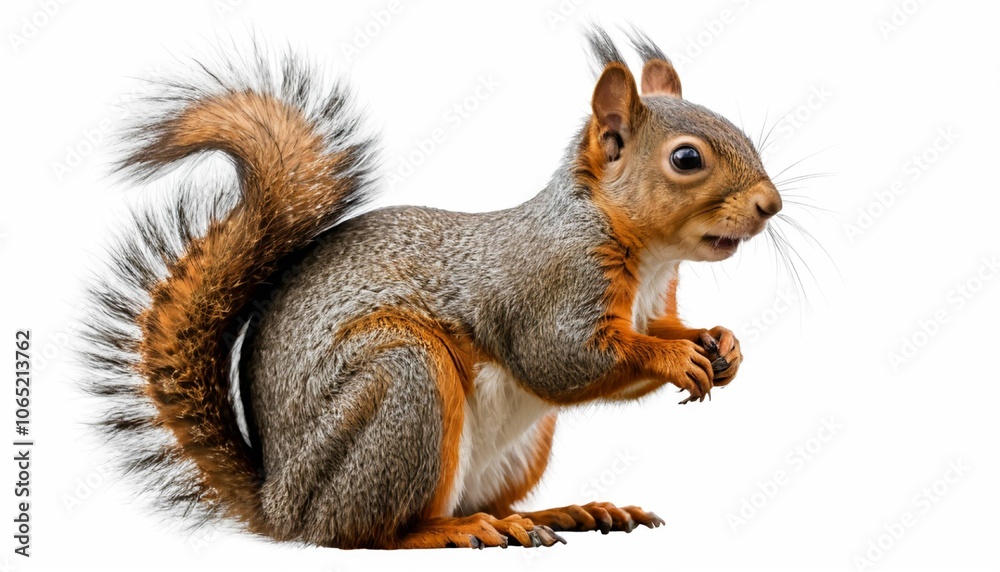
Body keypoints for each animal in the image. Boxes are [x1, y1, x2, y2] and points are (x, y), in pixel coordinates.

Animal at [81, 27, 781, 550]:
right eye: (686, 159)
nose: (770, 205)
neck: (646, 254)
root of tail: (280, 506)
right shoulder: (549, 286)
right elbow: (564, 360)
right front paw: (673, 357)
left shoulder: (654, 300)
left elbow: (662, 328)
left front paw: (721, 342)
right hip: (403, 382)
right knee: (365, 533)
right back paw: (453, 531)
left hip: (515, 449)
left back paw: (555, 514)